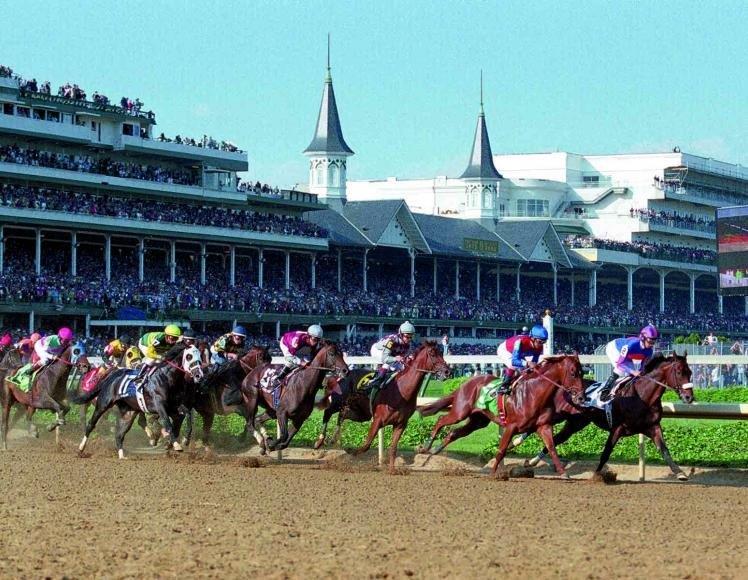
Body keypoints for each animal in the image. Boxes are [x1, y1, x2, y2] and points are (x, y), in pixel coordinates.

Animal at [344, 340, 450, 472]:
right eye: (432, 353)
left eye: (441, 352)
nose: (447, 371)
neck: (402, 392)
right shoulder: (378, 420)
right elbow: (367, 444)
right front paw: (350, 452)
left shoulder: (400, 424)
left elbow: (393, 448)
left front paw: (392, 470)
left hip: (360, 414)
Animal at [418, 354, 588, 472]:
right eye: (573, 373)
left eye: (582, 372)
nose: (582, 397)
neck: (534, 394)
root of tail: (465, 384)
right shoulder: (511, 426)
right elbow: (501, 450)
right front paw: (493, 472)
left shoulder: (543, 426)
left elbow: (551, 447)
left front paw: (562, 472)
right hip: (460, 411)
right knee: (441, 419)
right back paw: (426, 446)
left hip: (478, 421)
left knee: (454, 432)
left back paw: (435, 449)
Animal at [524, 352, 696, 478]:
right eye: (679, 372)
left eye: (690, 372)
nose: (689, 397)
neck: (642, 397)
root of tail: (563, 387)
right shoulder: (618, 428)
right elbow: (606, 452)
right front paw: (596, 476)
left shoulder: (653, 427)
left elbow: (665, 450)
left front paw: (680, 472)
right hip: (558, 415)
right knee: (534, 428)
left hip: (575, 423)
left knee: (557, 439)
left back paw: (532, 461)